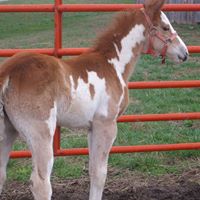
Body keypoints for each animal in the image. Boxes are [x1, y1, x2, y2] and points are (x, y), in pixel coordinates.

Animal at [0, 0, 188, 200]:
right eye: (165, 27)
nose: (185, 53)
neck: (113, 64)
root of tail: (8, 72)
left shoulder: (92, 127)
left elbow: (91, 169)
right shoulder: (106, 125)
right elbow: (100, 173)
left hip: (8, 131)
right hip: (41, 134)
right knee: (41, 183)